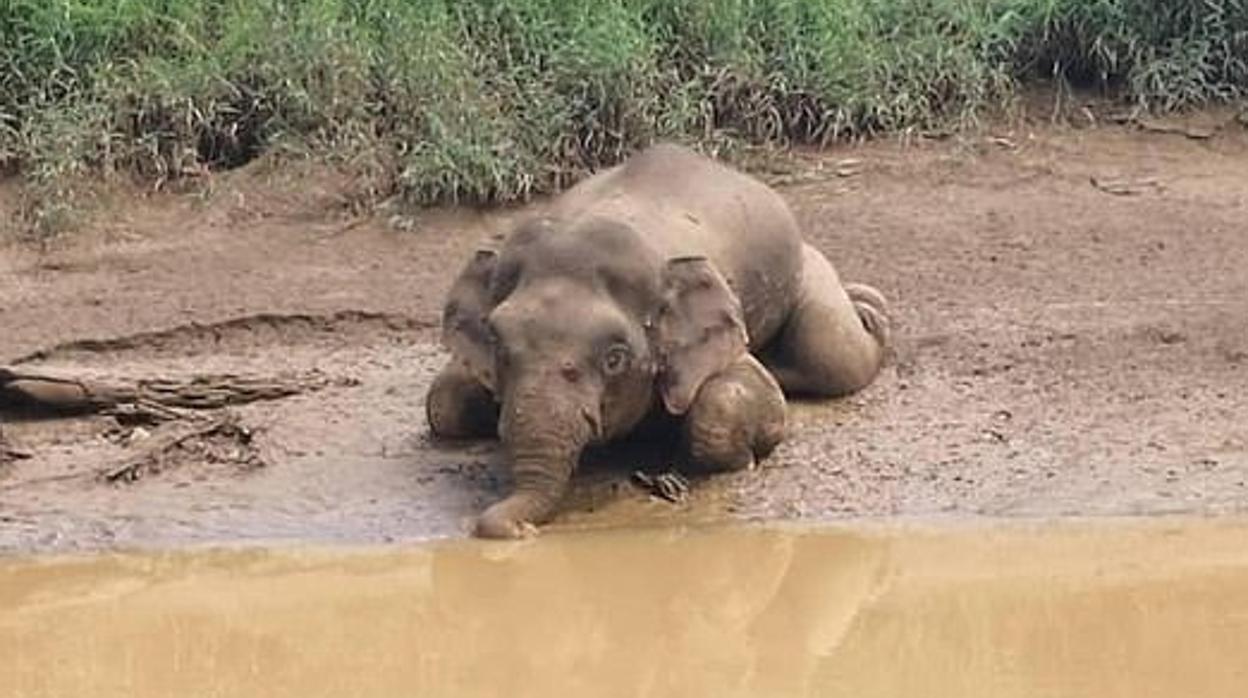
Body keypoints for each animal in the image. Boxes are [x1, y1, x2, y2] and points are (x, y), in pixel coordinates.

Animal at [424, 144, 893, 541]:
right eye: (497, 343)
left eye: (615, 358)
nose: (521, 531)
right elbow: (444, 400)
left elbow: (733, 397)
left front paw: (742, 460)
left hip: (803, 271)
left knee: (834, 352)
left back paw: (871, 310)